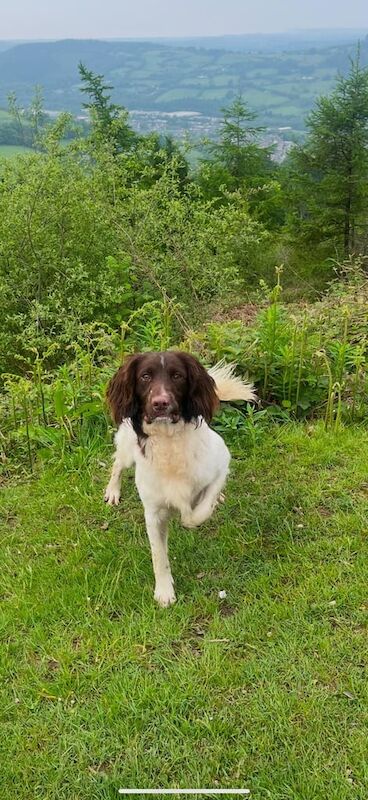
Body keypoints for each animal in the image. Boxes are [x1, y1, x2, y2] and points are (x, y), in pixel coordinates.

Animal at [104, 350, 256, 608]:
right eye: (145, 376)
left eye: (177, 376)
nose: (160, 403)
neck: (169, 442)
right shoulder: (153, 513)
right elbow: (158, 556)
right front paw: (164, 592)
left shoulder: (222, 462)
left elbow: (197, 512)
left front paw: (196, 509)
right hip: (127, 450)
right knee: (117, 464)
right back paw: (112, 491)